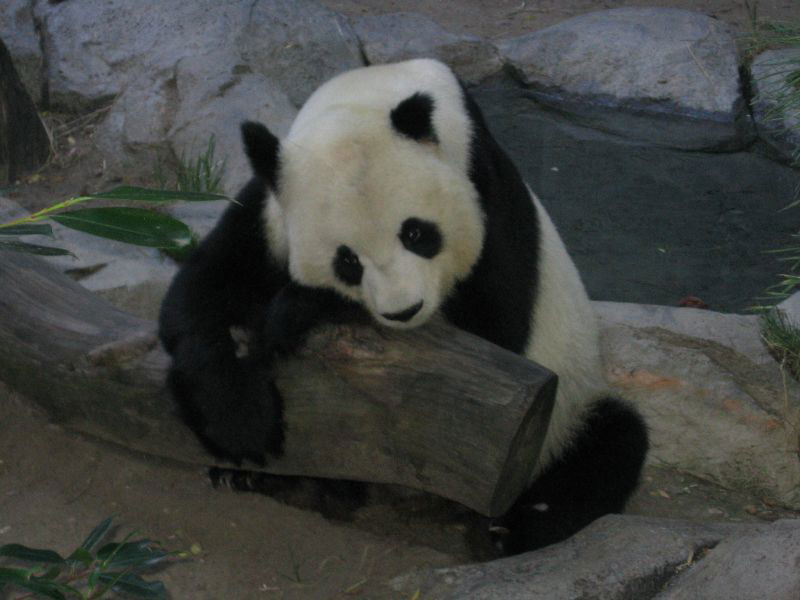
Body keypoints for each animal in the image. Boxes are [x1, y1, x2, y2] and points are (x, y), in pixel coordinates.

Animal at [158, 58, 648, 555]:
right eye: (347, 261)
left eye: (416, 233)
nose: (403, 311)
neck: (372, 91)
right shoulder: (270, 206)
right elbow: (202, 290)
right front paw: (239, 418)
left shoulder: (487, 193)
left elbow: (494, 336)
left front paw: (296, 309)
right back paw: (261, 478)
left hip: (566, 411)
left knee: (611, 443)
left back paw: (514, 530)